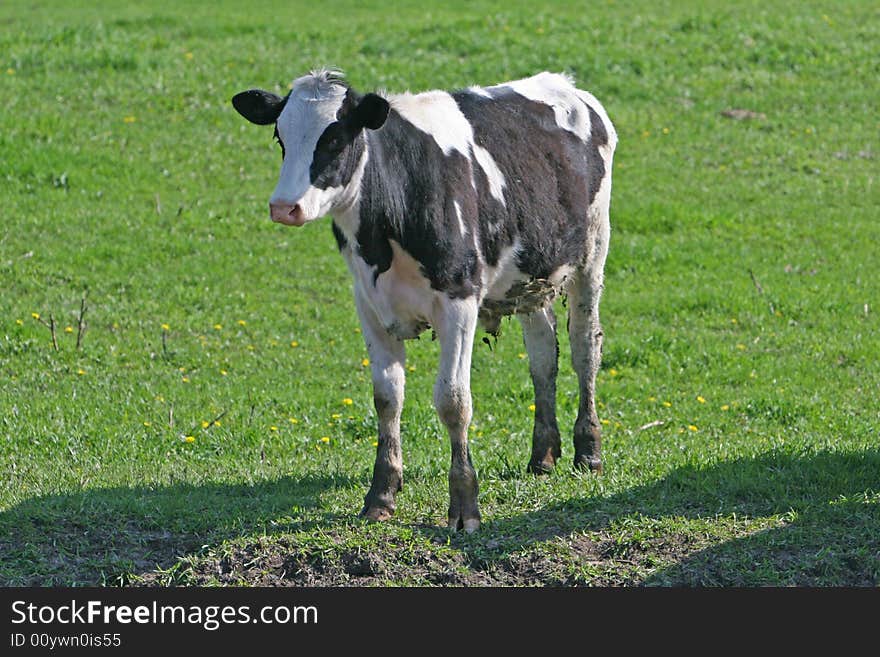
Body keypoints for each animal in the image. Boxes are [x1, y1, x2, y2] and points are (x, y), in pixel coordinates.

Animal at [234, 69, 620, 532]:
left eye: (336, 139)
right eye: (281, 136)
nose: (283, 207)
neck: (384, 232)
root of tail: (567, 85)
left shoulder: (459, 301)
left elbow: (453, 401)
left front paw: (465, 506)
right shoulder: (369, 304)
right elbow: (387, 397)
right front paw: (381, 494)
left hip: (591, 255)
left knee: (584, 349)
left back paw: (589, 449)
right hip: (530, 277)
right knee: (543, 354)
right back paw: (542, 455)